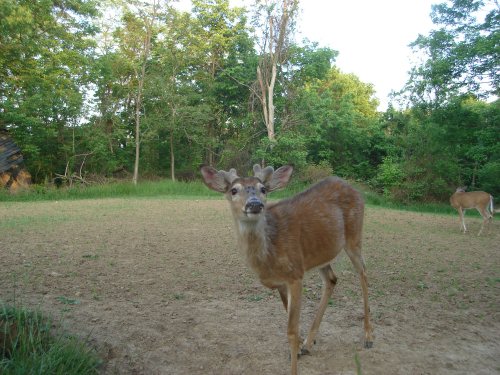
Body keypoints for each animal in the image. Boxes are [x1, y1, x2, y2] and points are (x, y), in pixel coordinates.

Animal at [201, 164, 374, 375]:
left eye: (263, 189)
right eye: (234, 190)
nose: (254, 204)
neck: (269, 256)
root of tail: (354, 188)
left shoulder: (295, 274)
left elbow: (291, 331)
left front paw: (295, 354)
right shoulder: (282, 283)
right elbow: (288, 315)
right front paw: (299, 348)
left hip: (354, 236)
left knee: (363, 273)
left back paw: (368, 336)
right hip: (322, 254)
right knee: (332, 279)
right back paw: (309, 343)